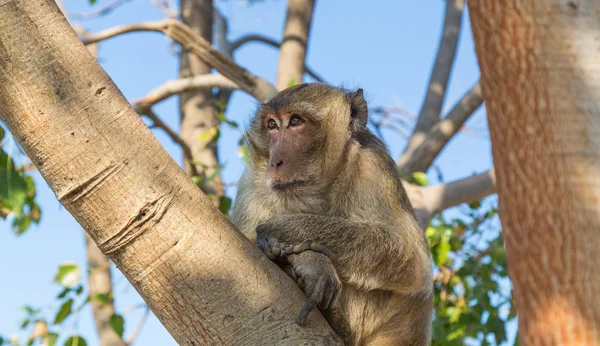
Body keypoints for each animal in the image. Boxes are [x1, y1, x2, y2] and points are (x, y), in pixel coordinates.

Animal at [232, 82, 434, 344]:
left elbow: (413, 261)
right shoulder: (251, 182)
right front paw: (311, 262)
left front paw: (286, 230)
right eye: (272, 125)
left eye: (295, 121)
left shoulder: (373, 166)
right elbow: (242, 247)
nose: (275, 162)